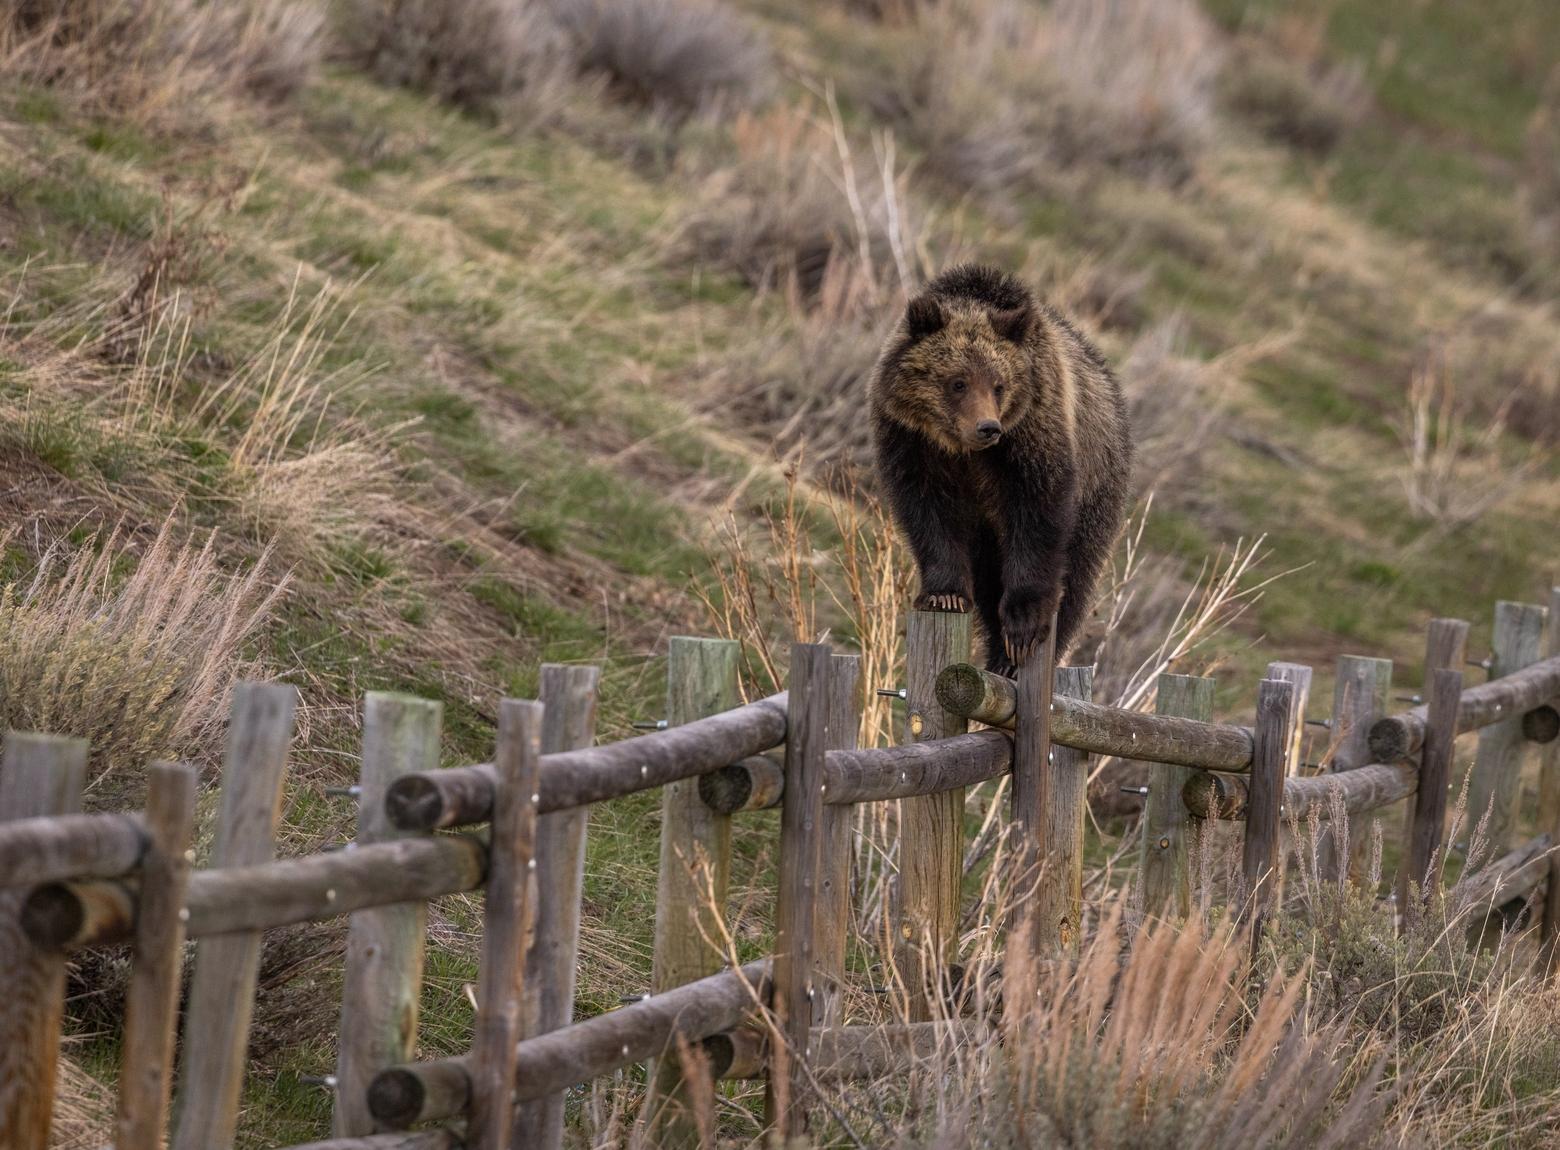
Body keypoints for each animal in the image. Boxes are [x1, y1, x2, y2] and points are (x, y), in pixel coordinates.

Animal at [867, 263, 1135, 667]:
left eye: (998, 384)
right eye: (958, 381)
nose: (987, 427)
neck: (959, 449)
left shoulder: (1029, 435)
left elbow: (1039, 507)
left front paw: (1023, 626)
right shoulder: (912, 442)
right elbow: (926, 509)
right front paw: (945, 594)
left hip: (1099, 488)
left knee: (1077, 575)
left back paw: (1013, 657)